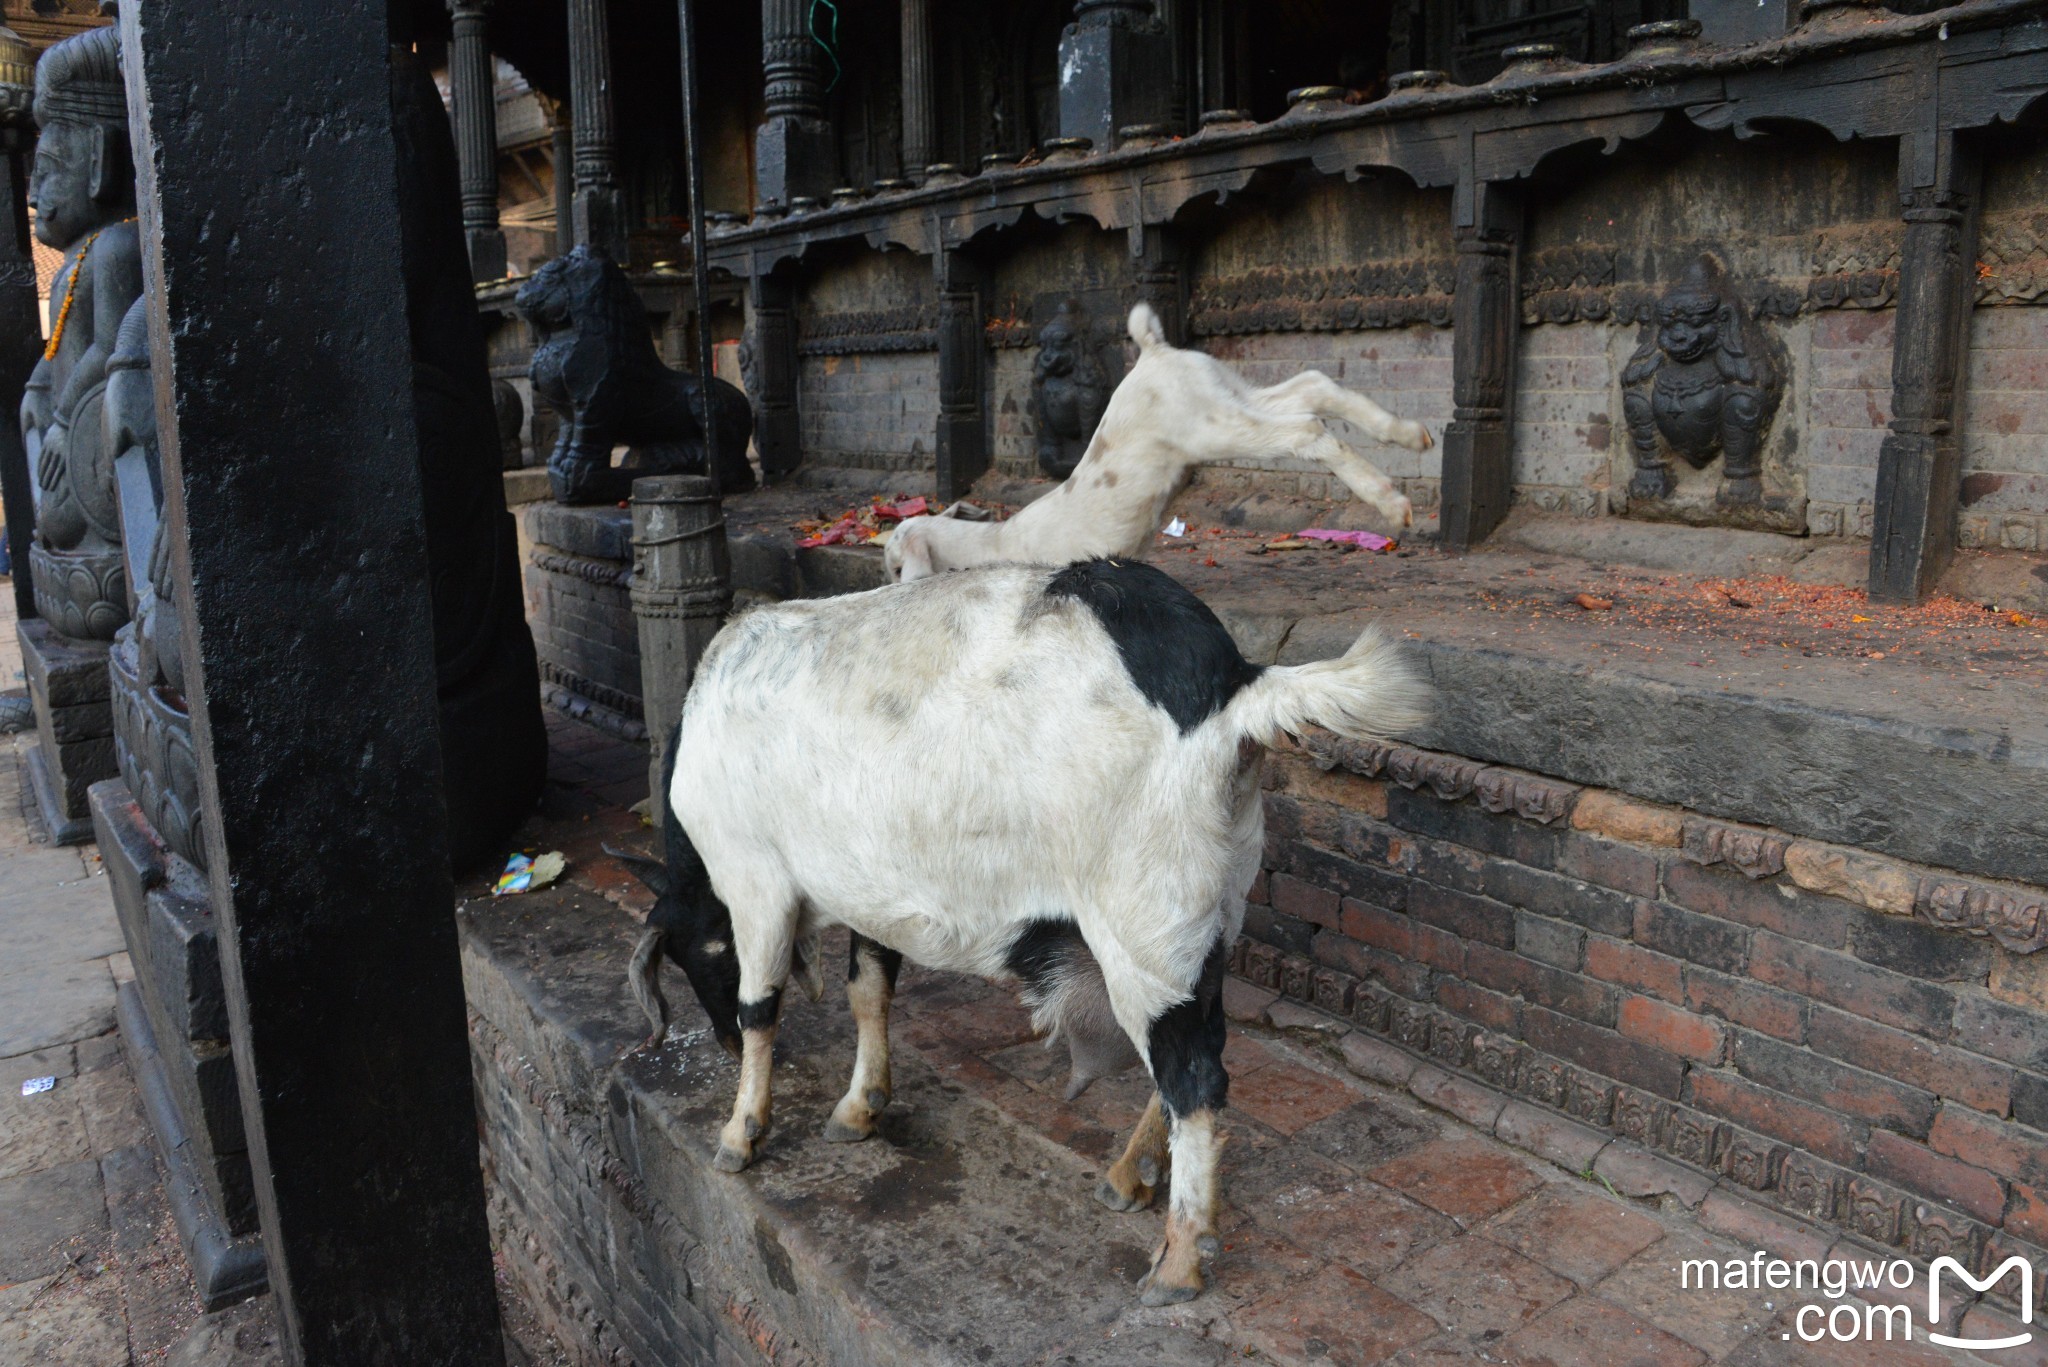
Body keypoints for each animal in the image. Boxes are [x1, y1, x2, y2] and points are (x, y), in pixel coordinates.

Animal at [614, 557, 1433, 1303]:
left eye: (699, 956)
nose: (717, 1044)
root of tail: (1231, 689)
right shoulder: (873, 891)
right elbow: (868, 989)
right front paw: (858, 1106)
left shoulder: (752, 879)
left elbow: (762, 1007)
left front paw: (739, 1132)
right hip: (1207, 914)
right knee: (1196, 1047)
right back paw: (1129, 1176)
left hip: (1144, 914)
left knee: (1194, 1076)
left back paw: (1176, 1262)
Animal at [884, 305, 1441, 582]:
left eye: (893, 567)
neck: (990, 544)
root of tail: (1152, 353)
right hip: (1224, 394)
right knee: (1313, 386)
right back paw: (1410, 435)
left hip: (1210, 428)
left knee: (1304, 429)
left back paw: (1391, 502)